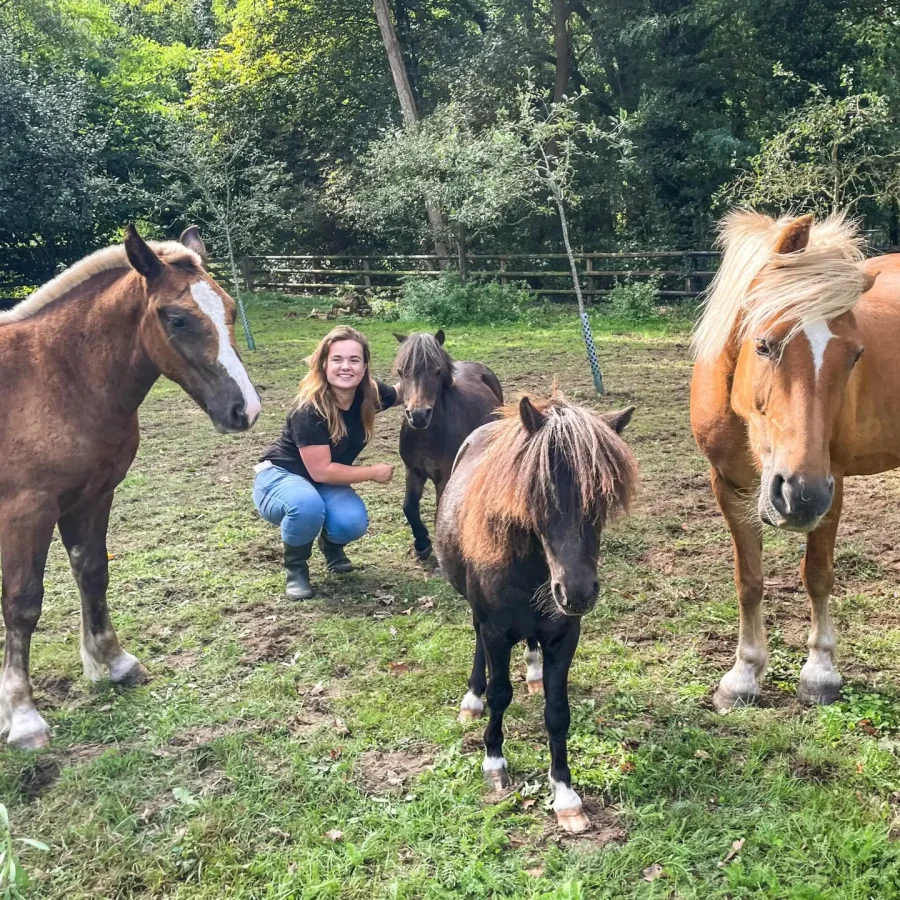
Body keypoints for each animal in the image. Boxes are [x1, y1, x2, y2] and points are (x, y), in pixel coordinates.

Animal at [0, 225, 261, 750]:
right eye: (177, 319)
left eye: (228, 308)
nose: (245, 409)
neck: (56, 378)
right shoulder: (25, 511)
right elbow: (22, 603)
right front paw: (22, 717)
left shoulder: (93, 496)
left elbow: (93, 573)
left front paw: (113, 662)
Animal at [393, 330, 503, 560]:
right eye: (401, 372)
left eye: (437, 372)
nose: (418, 416)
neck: (426, 436)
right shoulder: (413, 470)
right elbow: (409, 507)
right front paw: (422, 543)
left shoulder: (443, 477)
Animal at [435, 392, 636, 833]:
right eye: (539, 495)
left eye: (603, 498)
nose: (577, 593)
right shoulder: (495, 631)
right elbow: (499, 694)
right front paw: (494, 762)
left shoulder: (564, 637)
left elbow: (557, 713)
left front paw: (565, 794)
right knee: (479, 648)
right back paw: (472, 699)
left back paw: (533, 673)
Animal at [691, 210, 894, 710]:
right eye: (763, 344)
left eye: (855, 355)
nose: (799, 496)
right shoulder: (729, 486)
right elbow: (748, 580)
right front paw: (743, 676)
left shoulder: (831, 482)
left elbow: (817, 575)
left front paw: (820, 672)